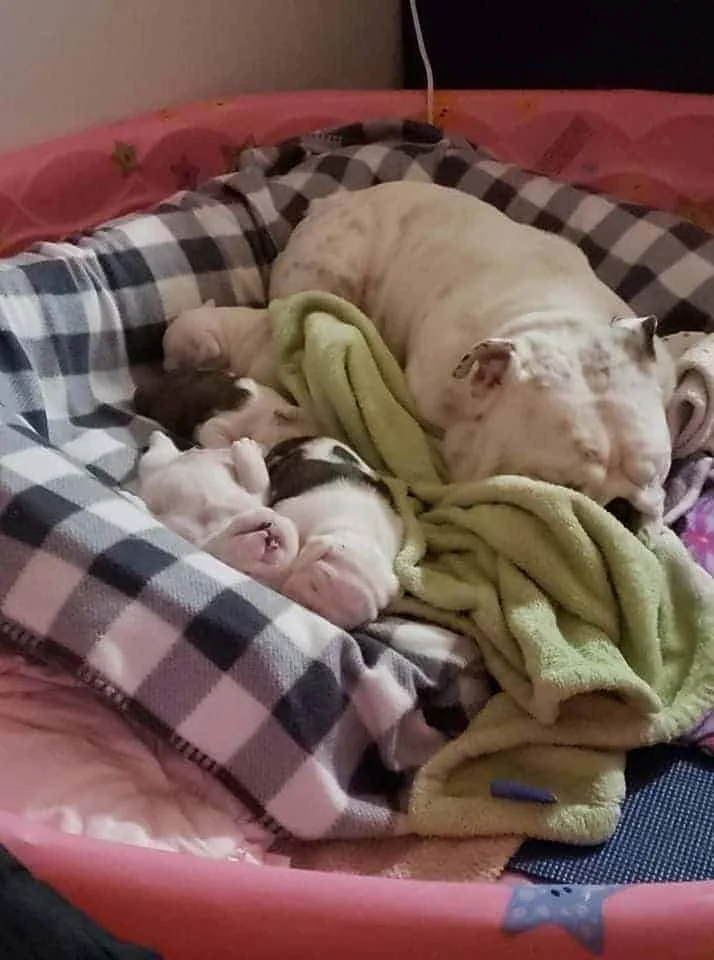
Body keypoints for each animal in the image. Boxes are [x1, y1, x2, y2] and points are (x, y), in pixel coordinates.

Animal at [162, 182, 675, 524]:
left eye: (654, 475)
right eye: (560, 488)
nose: (621, 511)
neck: (552, 319)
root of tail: (334, 202)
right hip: (325, 272)